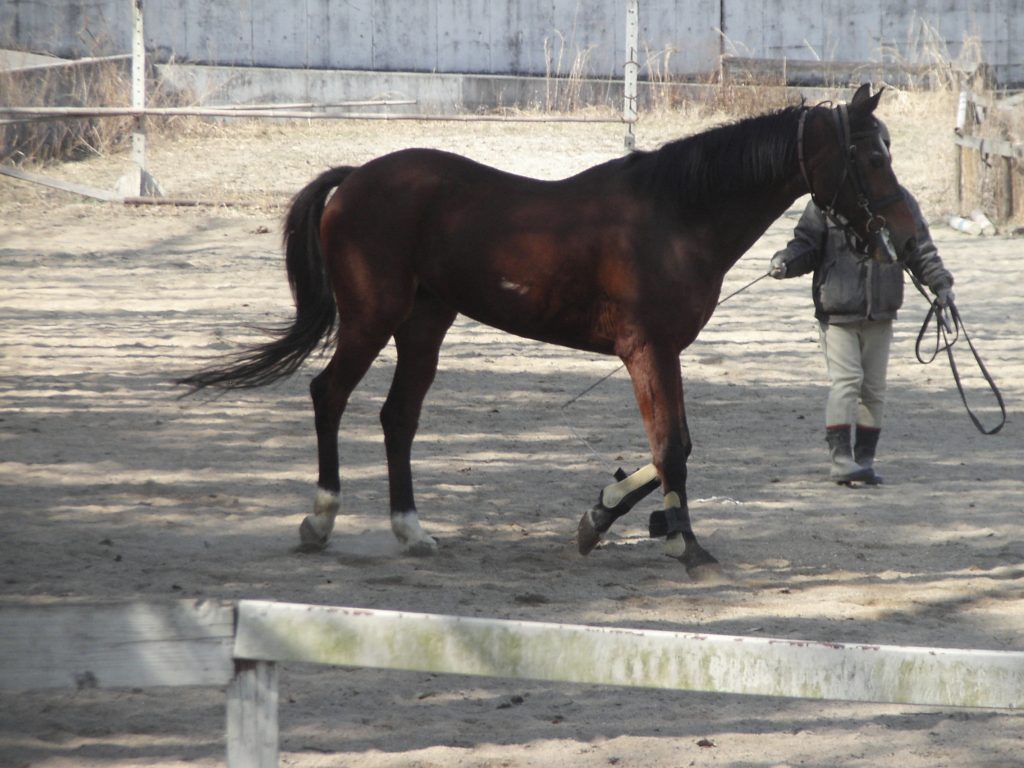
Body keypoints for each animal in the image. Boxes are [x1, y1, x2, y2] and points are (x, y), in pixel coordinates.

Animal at [180, 84, 919, 581]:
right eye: (868, 157)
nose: (906, 231)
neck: (676, 214)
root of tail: (355, 178)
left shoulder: (665, 353)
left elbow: (672, 447)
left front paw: (602, 514)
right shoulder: (646, 351)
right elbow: (671, 448)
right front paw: (686, 546)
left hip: (424, 325)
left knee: (398, 418)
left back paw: (411, 530)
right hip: (371, 318)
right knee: (329, 396)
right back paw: (320, 519)